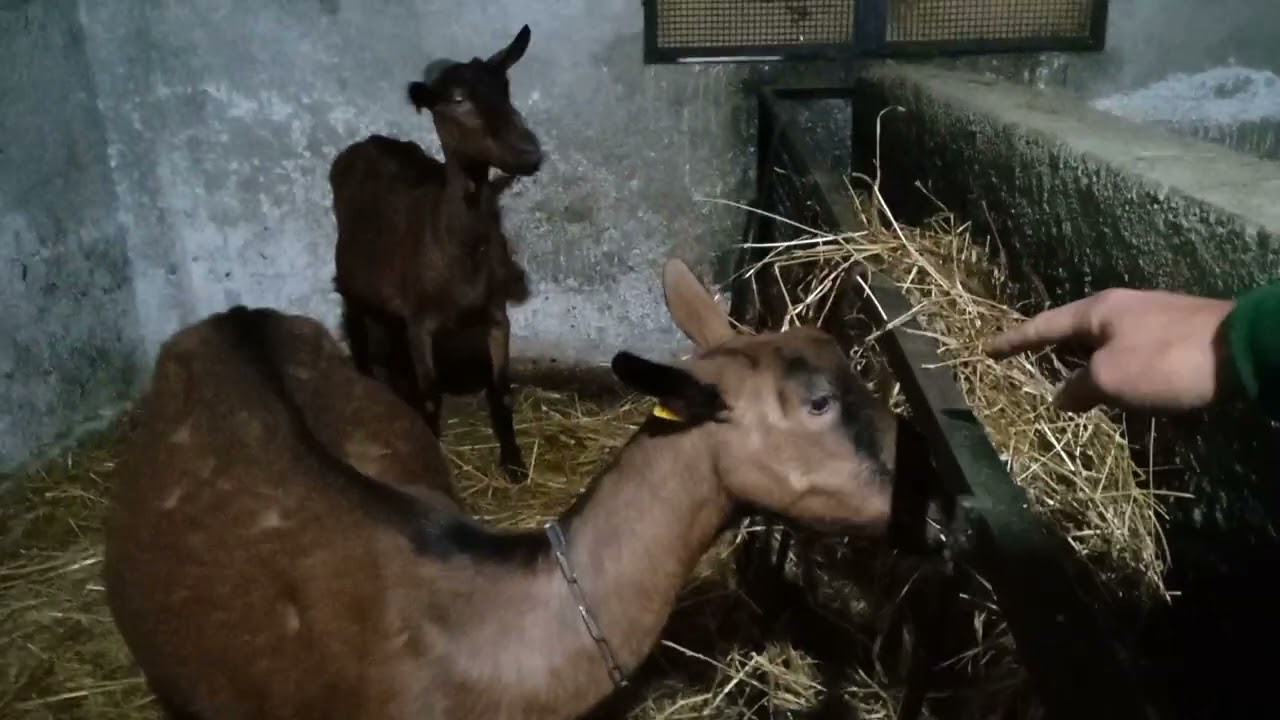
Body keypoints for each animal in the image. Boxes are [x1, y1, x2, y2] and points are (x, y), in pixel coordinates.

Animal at [331, 24, 540, 484]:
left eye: (505, 86)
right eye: (458, 100)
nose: (530, 152)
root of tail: (369, 142)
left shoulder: (496, 315)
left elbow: (502, 391)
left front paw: (514, 464)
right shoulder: (420, 325)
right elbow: (430, 397)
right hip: (354, 289)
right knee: (362, 345)